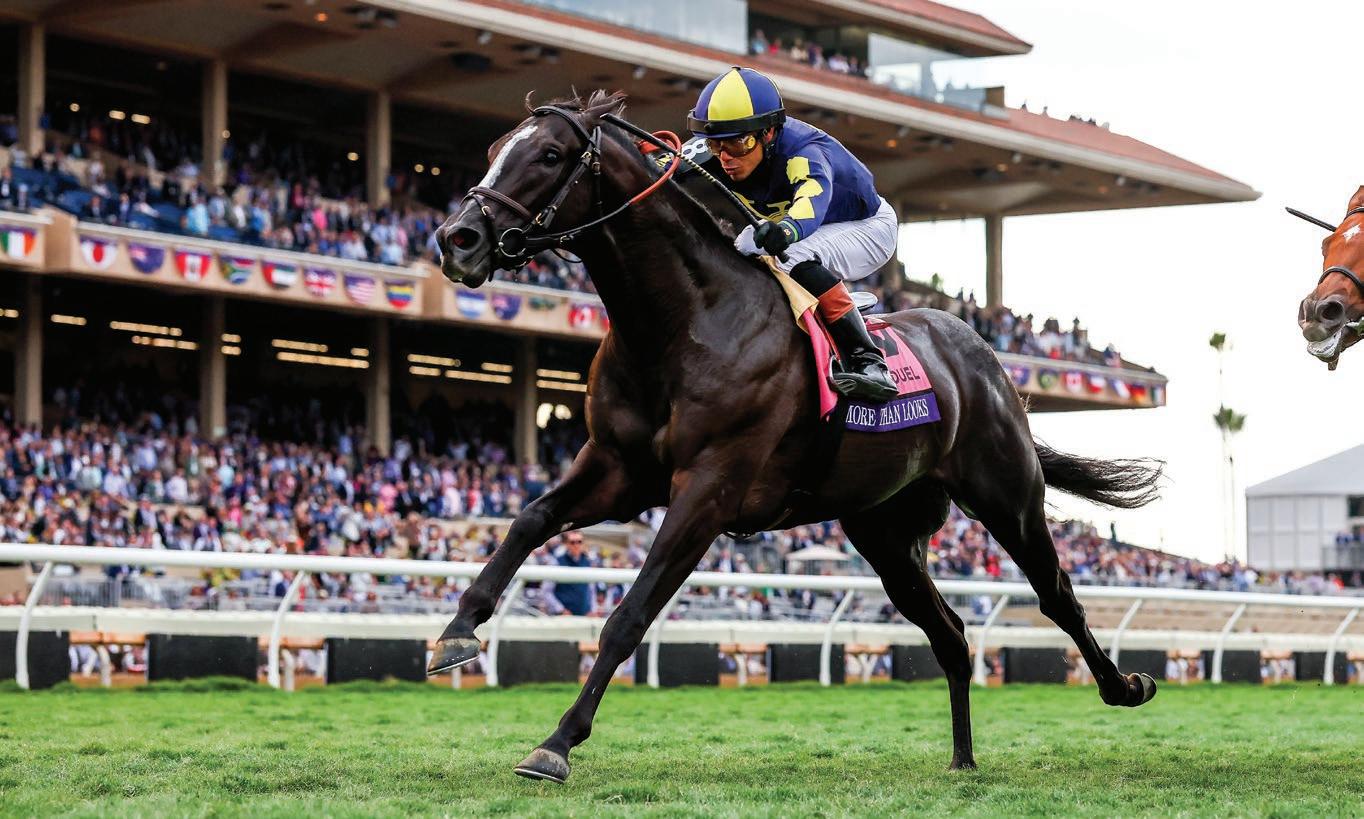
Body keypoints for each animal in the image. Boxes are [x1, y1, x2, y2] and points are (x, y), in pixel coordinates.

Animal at [431, 90, 1162, 784]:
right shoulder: (619, 468)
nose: (456, 238)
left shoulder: (709, 489)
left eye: (550, 155)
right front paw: (457, 632)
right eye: (494, 149)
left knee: (1056, 594)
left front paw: (557, 743)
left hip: (1006, 494)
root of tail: (980, 353)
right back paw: (962, 758)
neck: (681, 322)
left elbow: (628, 615)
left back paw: (1124, 686)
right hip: (884, 532)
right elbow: (530, 519)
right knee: (951, 633)